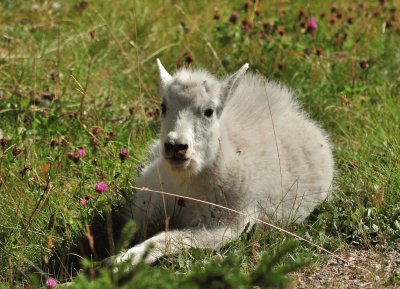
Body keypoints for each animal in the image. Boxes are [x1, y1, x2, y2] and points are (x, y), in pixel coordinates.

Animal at [115, 59, 334, 264]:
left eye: (209, 111)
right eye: (163, 107)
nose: (176, 146)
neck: (186, 183)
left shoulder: (229, 224)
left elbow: (169, 239)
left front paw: (121, 262)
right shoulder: (144, 206)